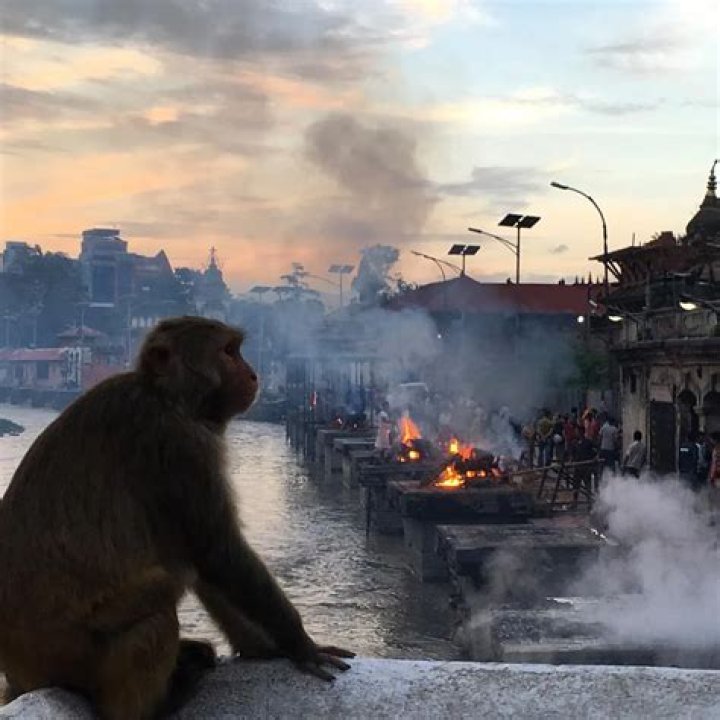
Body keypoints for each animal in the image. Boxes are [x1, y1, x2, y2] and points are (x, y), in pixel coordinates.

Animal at [0, 316, 353, 719]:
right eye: (228, 352)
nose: (253, 374)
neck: (166, 397)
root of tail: (19, 672)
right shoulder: (182, 446)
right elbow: (217, 550)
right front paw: (300, 644)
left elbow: (207, 559)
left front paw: (265, 648)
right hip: (69, 656)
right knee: (163, 599)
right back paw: (156, 705)